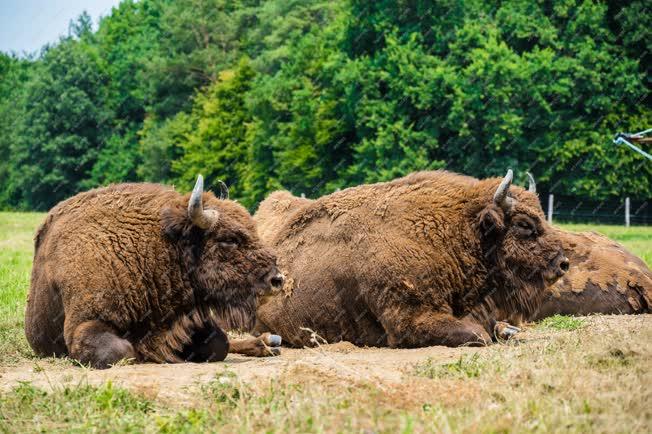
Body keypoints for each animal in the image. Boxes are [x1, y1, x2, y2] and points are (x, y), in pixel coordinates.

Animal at [24, 175, 284, 368]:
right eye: (228, 239)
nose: (277, 279)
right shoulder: (83, 324)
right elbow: (123, 350)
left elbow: (220, 343)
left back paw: (268, 343)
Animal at [252, 168, 568, 348]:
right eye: (524, 225)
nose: (563, 263)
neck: (455, 231)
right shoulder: (410, 321)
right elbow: (478, 334)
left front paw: (508, 330)